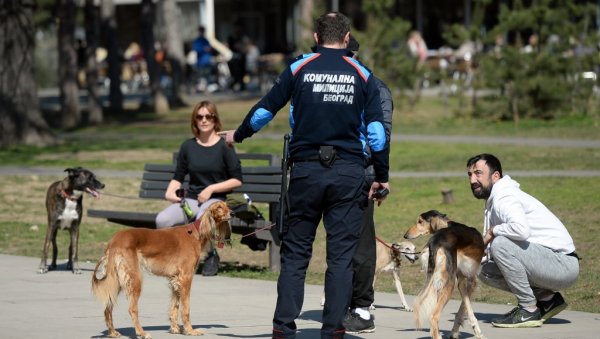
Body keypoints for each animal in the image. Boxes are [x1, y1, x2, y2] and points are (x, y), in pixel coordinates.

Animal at [91, 202, 232, 339]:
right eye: (219, 207)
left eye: (227, 205)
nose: (232, 213)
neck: (196, 233)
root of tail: (114, 240)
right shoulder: (186, 277)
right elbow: (185, 308)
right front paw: (190, 330)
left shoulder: (176, 280)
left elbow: (174, 306)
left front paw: (175, 329)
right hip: (134, 279)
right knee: (132, 309)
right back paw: (141, 333)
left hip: (117, 280)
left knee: (107, 308)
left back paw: (112, 333)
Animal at [400, 210, 486, 339]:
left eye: (420, 221)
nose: (405, 235)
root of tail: (434, 242)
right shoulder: (471, 280)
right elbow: (466, 308)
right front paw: (477, 332)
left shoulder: (461, 281)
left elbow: (463, 306)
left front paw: (454, 332)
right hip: (449, 283)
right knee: (434, 316)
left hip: (436, 281)